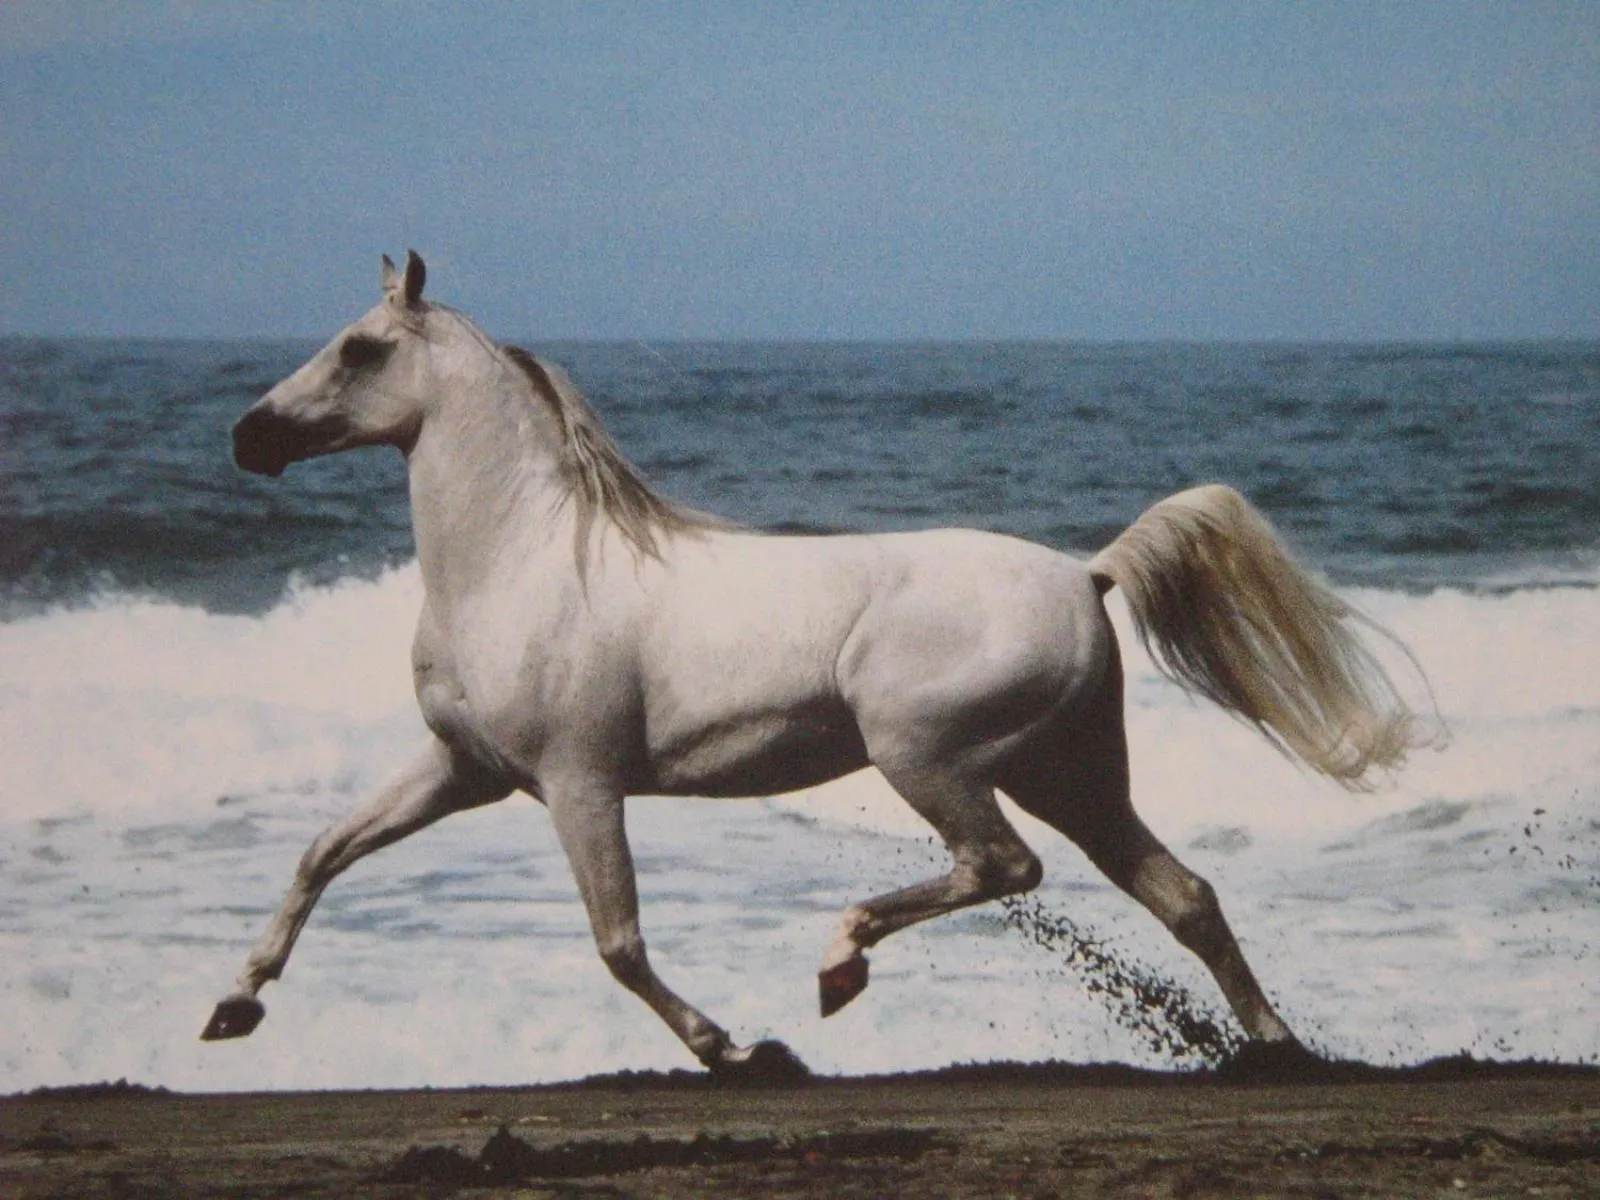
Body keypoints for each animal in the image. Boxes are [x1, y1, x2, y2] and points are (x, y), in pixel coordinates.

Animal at [207, 251, 1431, 1076]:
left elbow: (618, 942)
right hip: (1070, 773)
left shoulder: (578, 782)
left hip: (927, 757)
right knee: (1184, 895)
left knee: (1005, 867)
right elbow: (323, 853)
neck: (522, 561)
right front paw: (235, 1006)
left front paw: (736, 1050)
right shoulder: (465, 771)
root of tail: (1085, 574)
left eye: (360, 349)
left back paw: (841, 963)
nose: (248, 438)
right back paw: (1274, 1047)